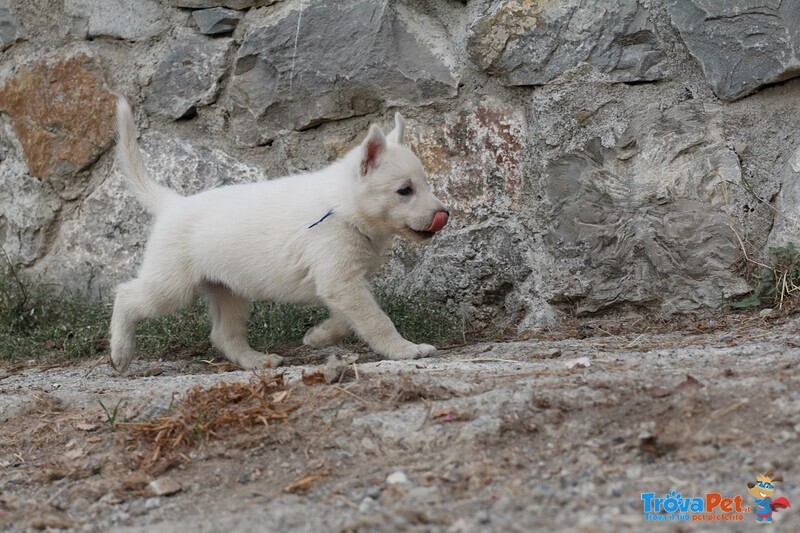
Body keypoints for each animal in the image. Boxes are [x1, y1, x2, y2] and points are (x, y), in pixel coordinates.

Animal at [108, 97, 450, 372]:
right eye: (405, 190)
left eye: (425, 184)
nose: (443, 215)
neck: (342, 205)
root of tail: (172, 204)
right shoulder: (341, 280)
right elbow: (376, 319)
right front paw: (404, 349)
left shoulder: (342, 283)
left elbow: (347, 317)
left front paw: (319, 335)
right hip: (172, 285)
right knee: (126, 295)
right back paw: (120, 352)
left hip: (227, 290)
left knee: (224, 334)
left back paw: (257, 360)